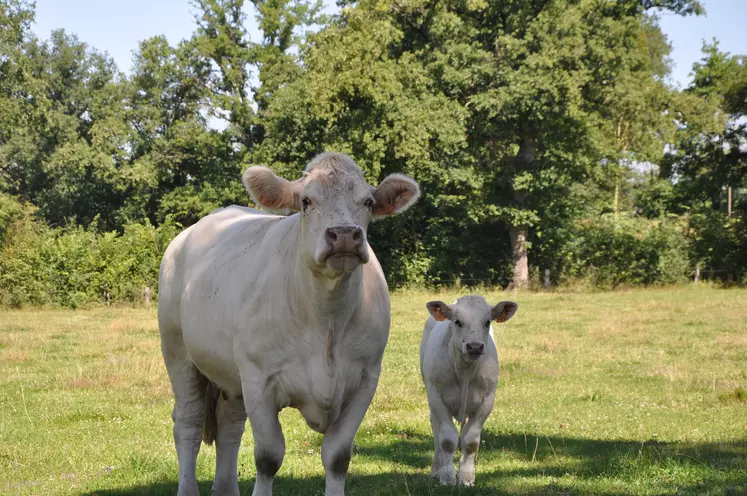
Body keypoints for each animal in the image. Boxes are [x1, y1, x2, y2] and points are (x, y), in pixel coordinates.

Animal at [158, 151, 420, 496]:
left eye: (367, 201)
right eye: (306, 201)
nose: (345, 235)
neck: (327, 320)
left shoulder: (366, 379)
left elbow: (337, 456)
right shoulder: (259, 381)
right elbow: (268, 457)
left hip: (231, 375)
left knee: (229, 426)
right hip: (177, 350)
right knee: (188, 422)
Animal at [420, 296, 520, 486]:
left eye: (487, 322)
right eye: (458, 322)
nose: (474, 347)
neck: (464, 373)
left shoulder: (487, 401)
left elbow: (471, 440)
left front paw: (466, 477)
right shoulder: (437, 398)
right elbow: (447, 440)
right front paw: (447, 477)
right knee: (436, 432)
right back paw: (436, 468)